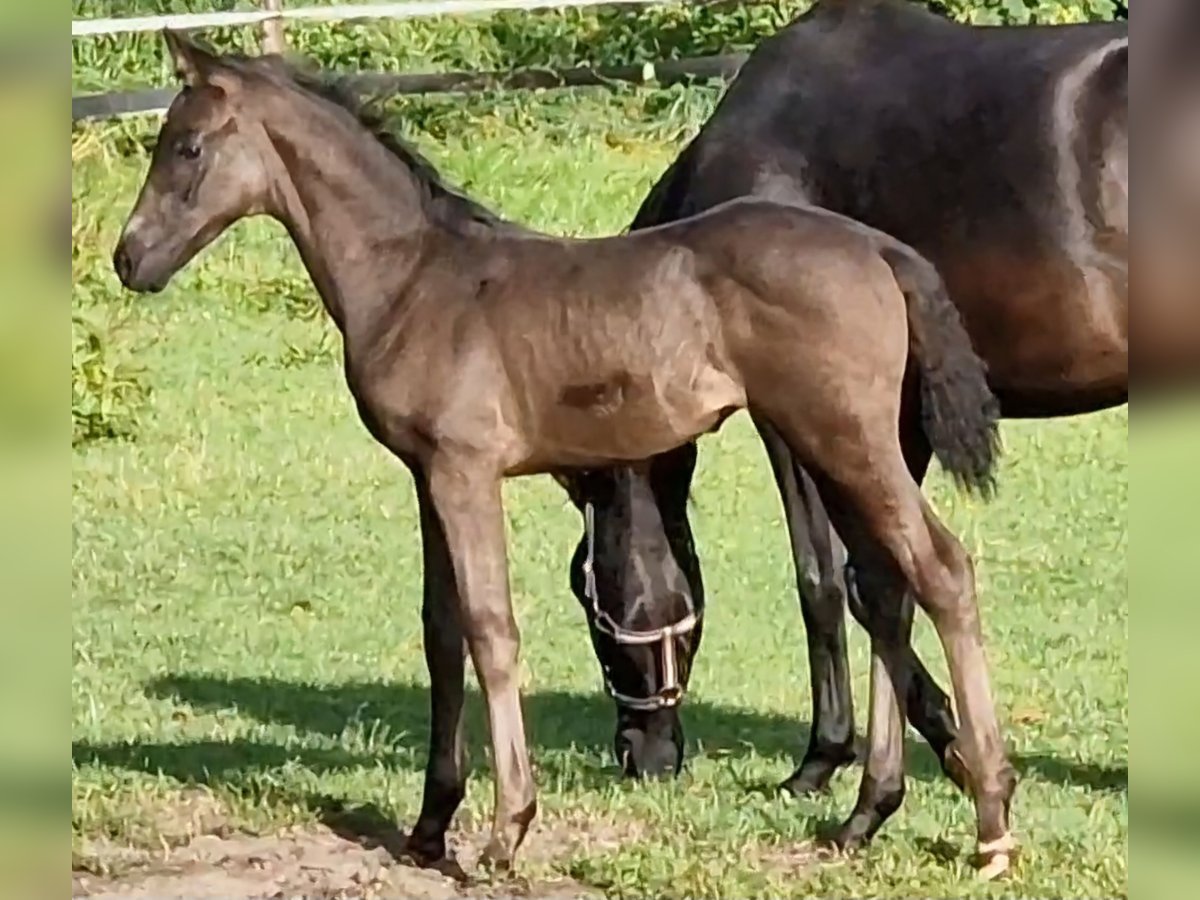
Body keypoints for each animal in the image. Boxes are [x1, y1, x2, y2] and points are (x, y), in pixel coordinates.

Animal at [112, 31, 1017, 878]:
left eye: (186, 147)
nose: (129, 258)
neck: (413, 280)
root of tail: (881, 251)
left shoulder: (466, 470)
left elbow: (491, 628)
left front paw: (507, 829)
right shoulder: (425, 476)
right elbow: (442, 633)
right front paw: (430, 825)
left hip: (845, 437)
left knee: (941, 571)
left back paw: (992, 821)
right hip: (835, 447)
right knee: (889, 591)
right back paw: (868, 815)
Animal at [573, 0, 1161, 835]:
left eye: (587, 598)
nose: (638, 754)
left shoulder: (792, 416)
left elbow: (827, 580)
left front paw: (831, 758)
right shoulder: (893, 428)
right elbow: (885, 579)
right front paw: (945, 751)